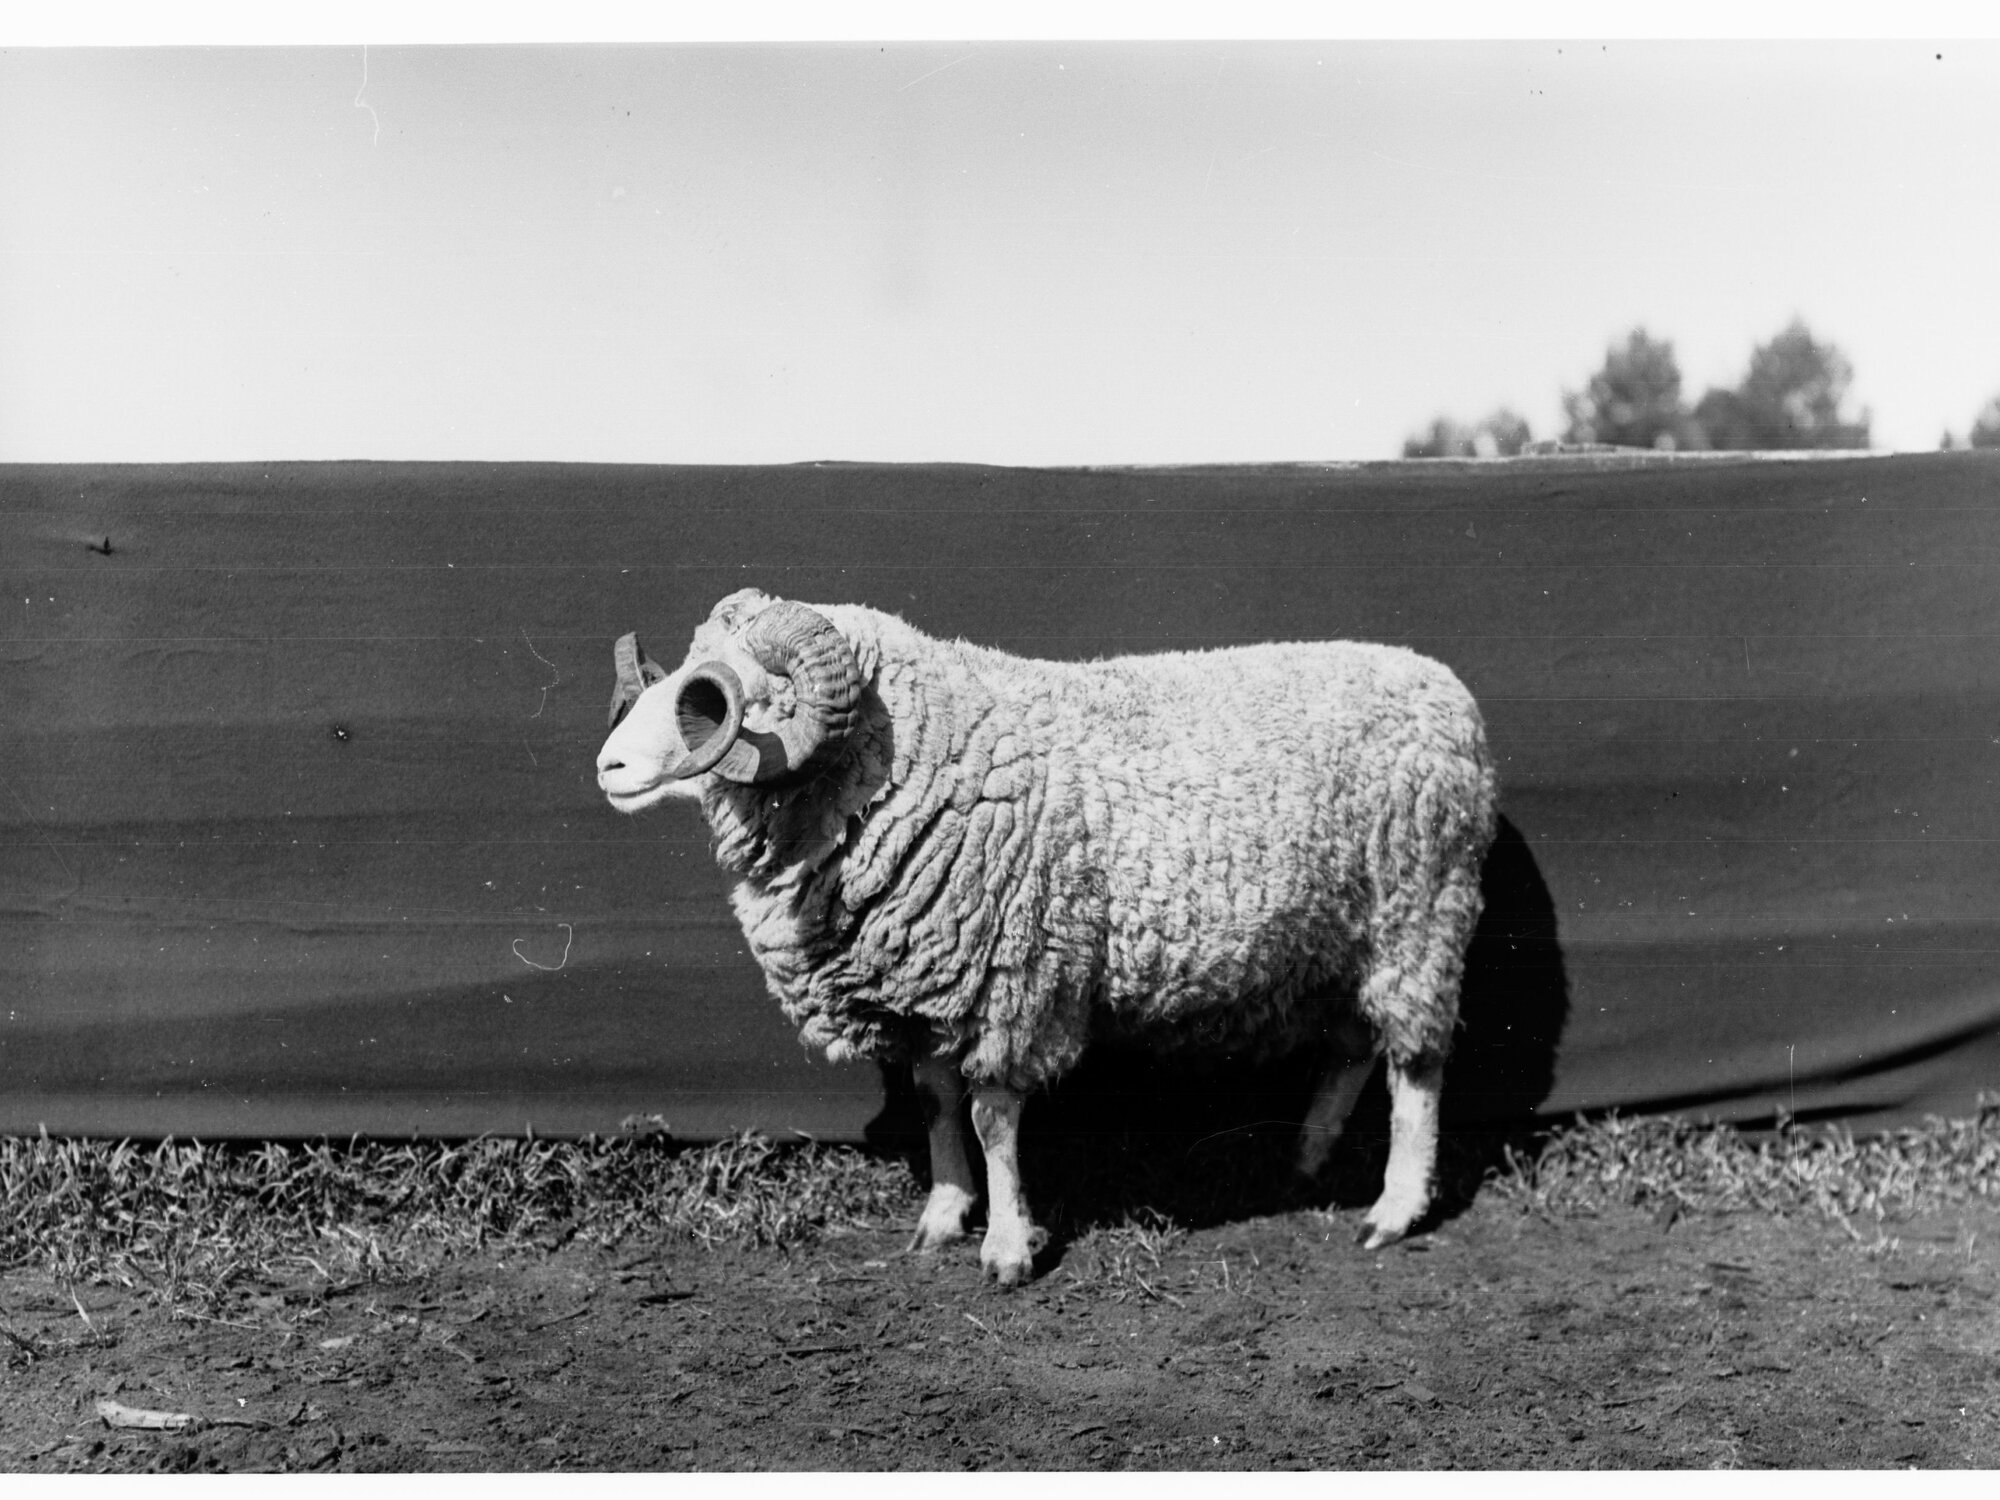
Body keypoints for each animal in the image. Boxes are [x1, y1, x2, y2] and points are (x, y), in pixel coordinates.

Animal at [596, 588, 1498, 1285]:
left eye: (718, 700)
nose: (608, 767)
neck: (927, 755)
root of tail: (1445, 687)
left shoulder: (1013, 977)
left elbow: (994, 1117)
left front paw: (1005, 1249)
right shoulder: (924, 983)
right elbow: (935, 1101)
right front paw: (943, 1215)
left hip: (1422, 914)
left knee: (1417, 1067)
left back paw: (1393, 1210)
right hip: (1344, 942)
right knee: (1353, 1047)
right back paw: (1307, 1160)